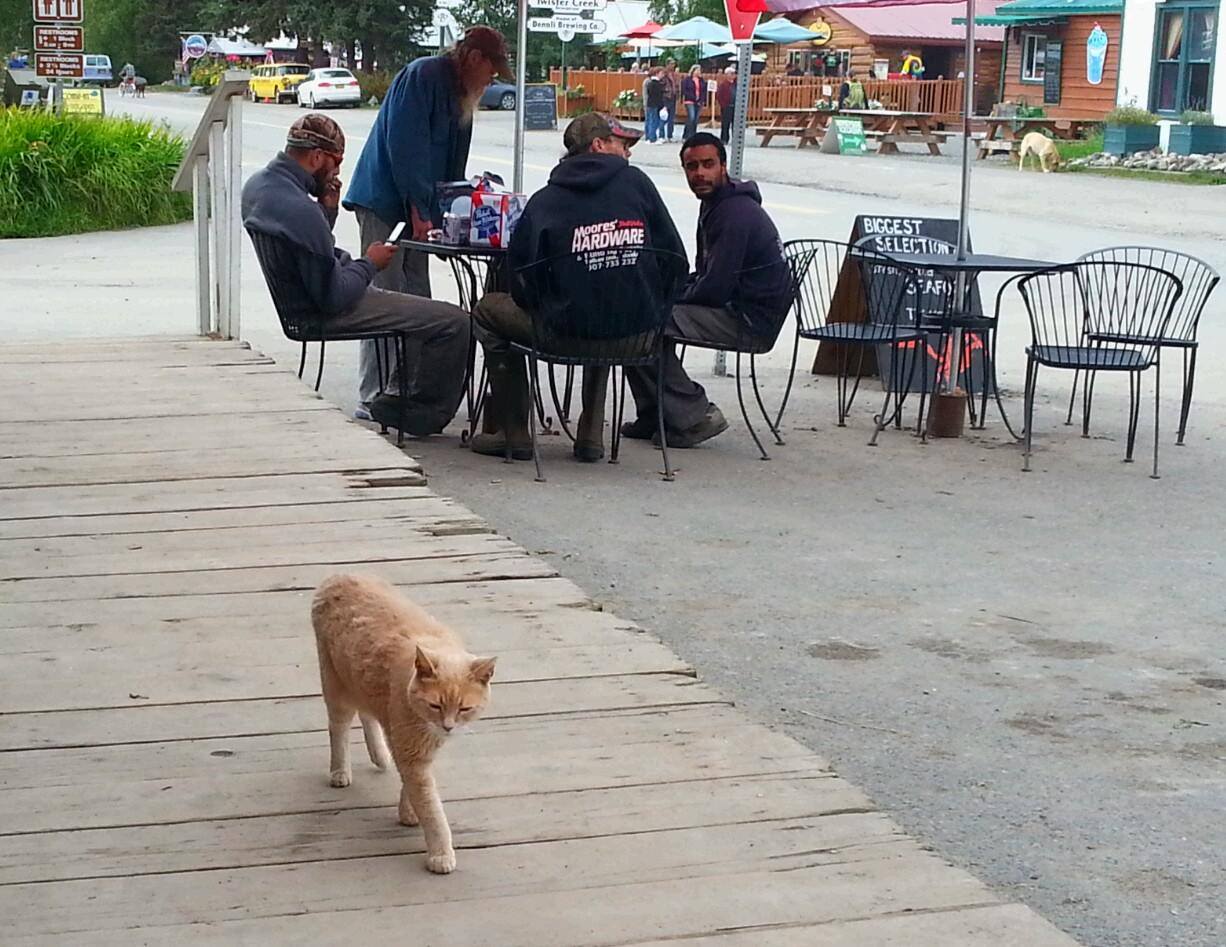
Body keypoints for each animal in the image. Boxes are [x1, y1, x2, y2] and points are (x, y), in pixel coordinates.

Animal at [308, 569, 495, 873]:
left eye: (465, 708)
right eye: (435, 705)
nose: (448, 726)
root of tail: (342, 574)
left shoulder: (418, 751)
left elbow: (412, 789)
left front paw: (408, 812)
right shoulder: (412, 754)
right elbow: (431, 808)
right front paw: (440, 853)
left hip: (362, 688)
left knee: (367, 714)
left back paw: (379, 755)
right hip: (335, 685)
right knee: (339, 728)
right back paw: (340, 772)